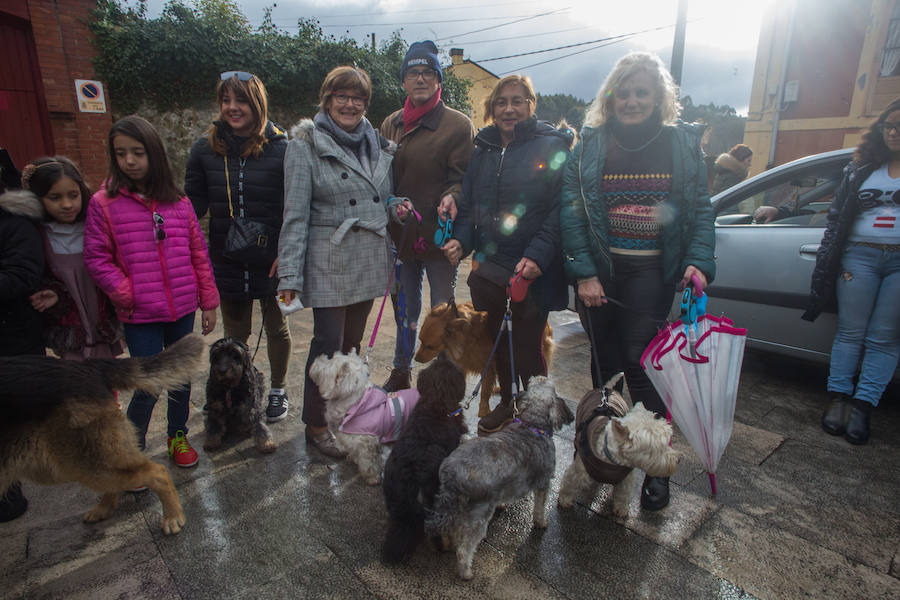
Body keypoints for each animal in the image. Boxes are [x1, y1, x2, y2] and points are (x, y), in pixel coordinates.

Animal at [310, 350, 418, 486]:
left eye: (329, 362)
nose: (317, 358)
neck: (356, 405)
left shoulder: (366, 444)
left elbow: (368, 463)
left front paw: (372, 478)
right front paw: (353, 459)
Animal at [416, 302, 556, 414]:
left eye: (430, 347)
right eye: (420, 341)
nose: (416, 359)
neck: (467, 335)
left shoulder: (488, 367)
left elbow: (484, 391)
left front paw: (483, 411)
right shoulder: (463, 365)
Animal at [426, 376, 572, 580]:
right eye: (550, 386)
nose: (540, 376)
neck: (531, 424)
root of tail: (453, 474)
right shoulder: (544, 483)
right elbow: (540, 508)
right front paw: (541, 523)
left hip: (455, 507)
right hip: (479, 515)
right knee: (464, 548)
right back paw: (466, 572)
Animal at [560, 372, 680, 516]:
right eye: (658, 448)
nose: (678, 460)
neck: (612, 460)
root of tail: (606, 389)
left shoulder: (626, 478)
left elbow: (623, 494)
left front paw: (621, 509)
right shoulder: (579, 470)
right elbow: (569, 484)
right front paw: (565, 500)